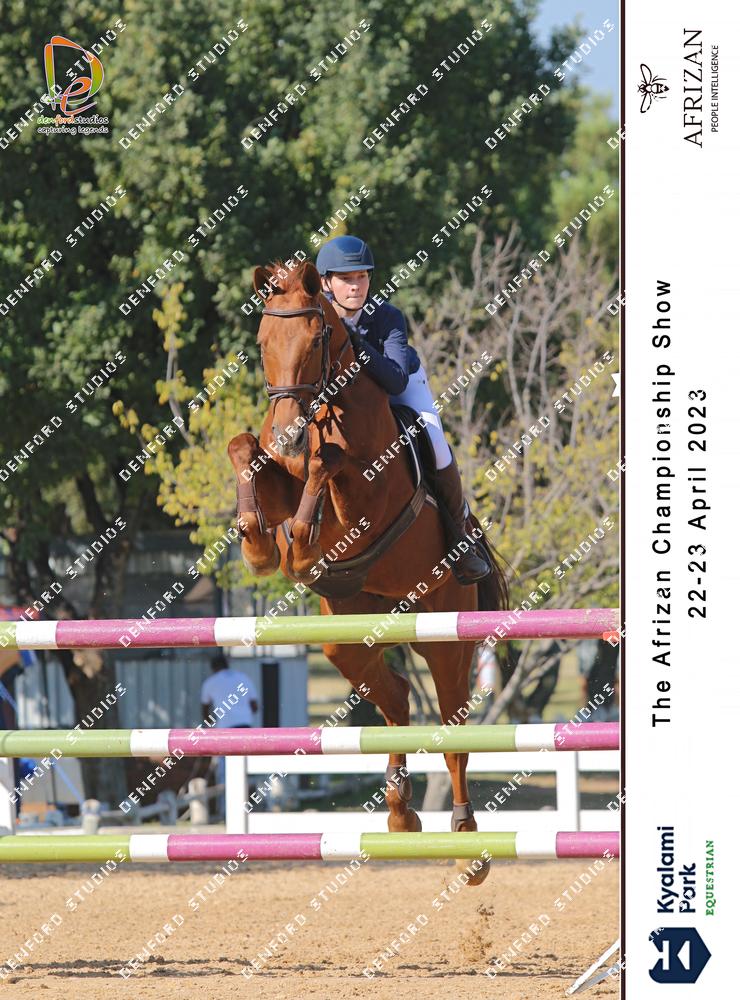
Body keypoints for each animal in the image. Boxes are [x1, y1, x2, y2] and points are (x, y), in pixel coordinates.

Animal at [228, 260, 508, 884]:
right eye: (262, 340)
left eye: (315, 341)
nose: (287, 434)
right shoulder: (276, 472)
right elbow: (244, 449)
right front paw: (258, 544)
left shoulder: (367, 499)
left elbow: (328, 469)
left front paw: (298, 547)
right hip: (350, 636)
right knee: (398, 697)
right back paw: (402, 814)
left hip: (445, 633)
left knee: (452, 726)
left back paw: (466, 840)